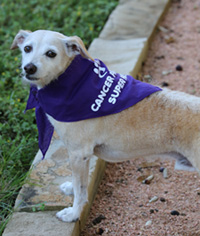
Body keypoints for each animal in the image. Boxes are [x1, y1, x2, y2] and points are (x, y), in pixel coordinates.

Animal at [11, 28, 200, 222]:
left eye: (51, 53)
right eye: (27, 48)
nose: (29, 68)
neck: (71, 83)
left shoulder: (78, 153)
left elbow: (81, 191)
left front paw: (73, 213)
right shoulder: (81, 156)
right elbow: (78, 182)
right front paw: (71, 187)